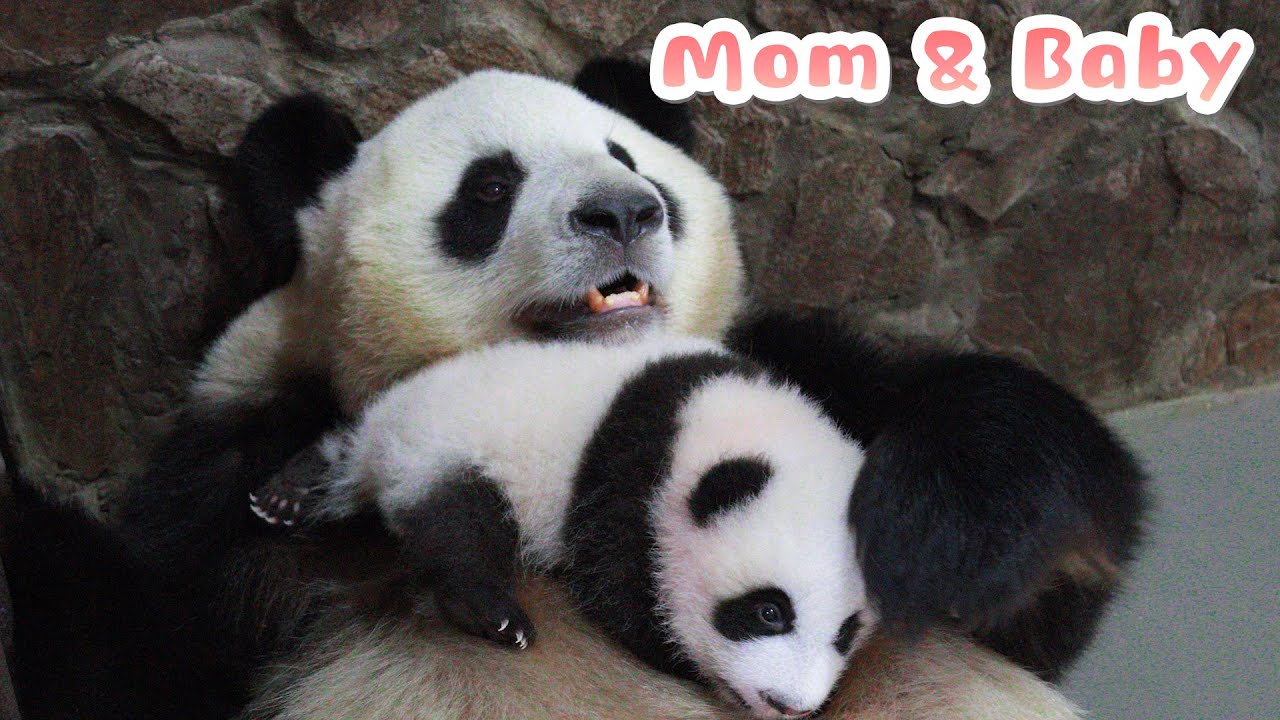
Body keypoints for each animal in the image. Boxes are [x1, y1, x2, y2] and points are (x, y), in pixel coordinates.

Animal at [312, 332, 874, 719]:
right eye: (768, 612)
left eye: (847, 632)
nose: (789, 704)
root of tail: (379, 431)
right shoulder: (628, 474)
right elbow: (614, 587)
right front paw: (681, 657)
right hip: (442, 447)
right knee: (459, 527)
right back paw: (494, 614)